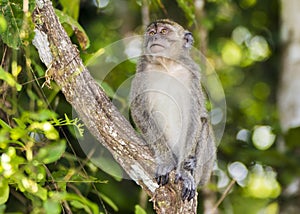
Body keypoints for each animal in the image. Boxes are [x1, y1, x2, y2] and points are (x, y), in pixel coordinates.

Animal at [129, 18, 216, 201]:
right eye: (151, 33)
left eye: (163, 31)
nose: (154, 38)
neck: (166, 65)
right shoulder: (141, 71)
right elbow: (139, 111)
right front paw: (166, 161)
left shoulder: (192, 75)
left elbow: (195, 117)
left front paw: (185, 172)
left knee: (204, 123)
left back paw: (191, 168)